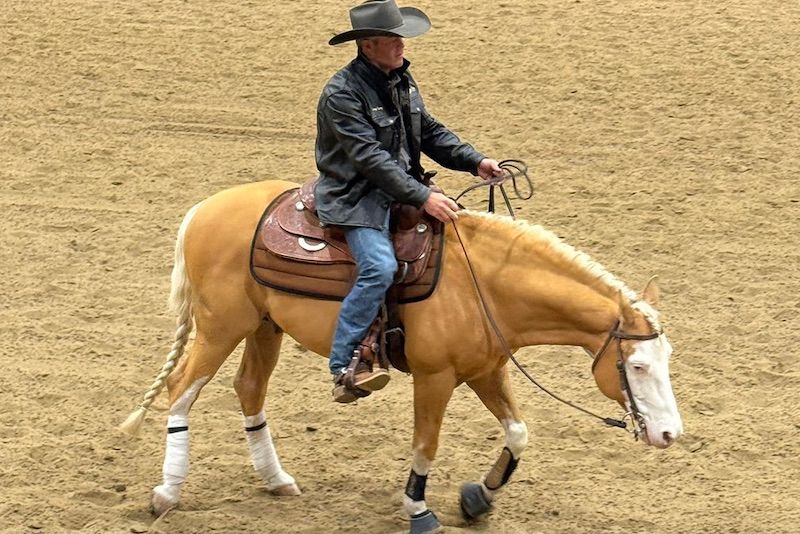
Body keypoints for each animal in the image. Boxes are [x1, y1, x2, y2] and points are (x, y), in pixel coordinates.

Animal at [120, 179, 683, 533]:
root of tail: (202, 210)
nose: (669, 434)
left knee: (249, 390)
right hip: (221, 327)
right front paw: (418, 509)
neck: (484, 284)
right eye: (636, 366)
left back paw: (277, 480)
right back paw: (167, 493)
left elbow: (519, 432)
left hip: (264, 328)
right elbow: (425, 446)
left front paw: (479, 497)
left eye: (668, 360)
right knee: (181, 390)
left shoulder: (486, 370)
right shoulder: (435, 377)